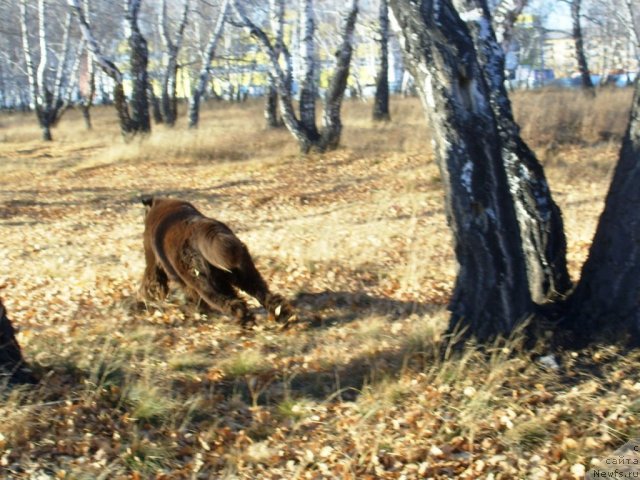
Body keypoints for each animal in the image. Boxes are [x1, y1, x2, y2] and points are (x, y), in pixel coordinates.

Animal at [140, 196, 296, 326]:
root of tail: (205, 231)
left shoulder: (153, 260)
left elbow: (152, 279)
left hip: (205, 284)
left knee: (232, 303)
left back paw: (245, 321)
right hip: (244, 272)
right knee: (264, 294)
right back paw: (283, 314)